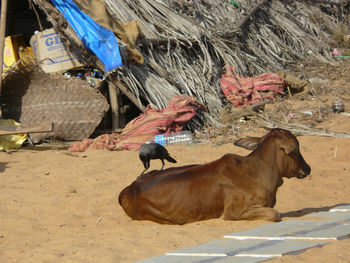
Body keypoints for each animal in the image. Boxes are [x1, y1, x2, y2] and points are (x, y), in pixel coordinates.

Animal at [119, 129, 310, 226]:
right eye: (297, 149)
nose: (307, 169)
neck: (258, 171)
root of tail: (128, 189)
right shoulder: (233, 212)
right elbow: (274, 214)